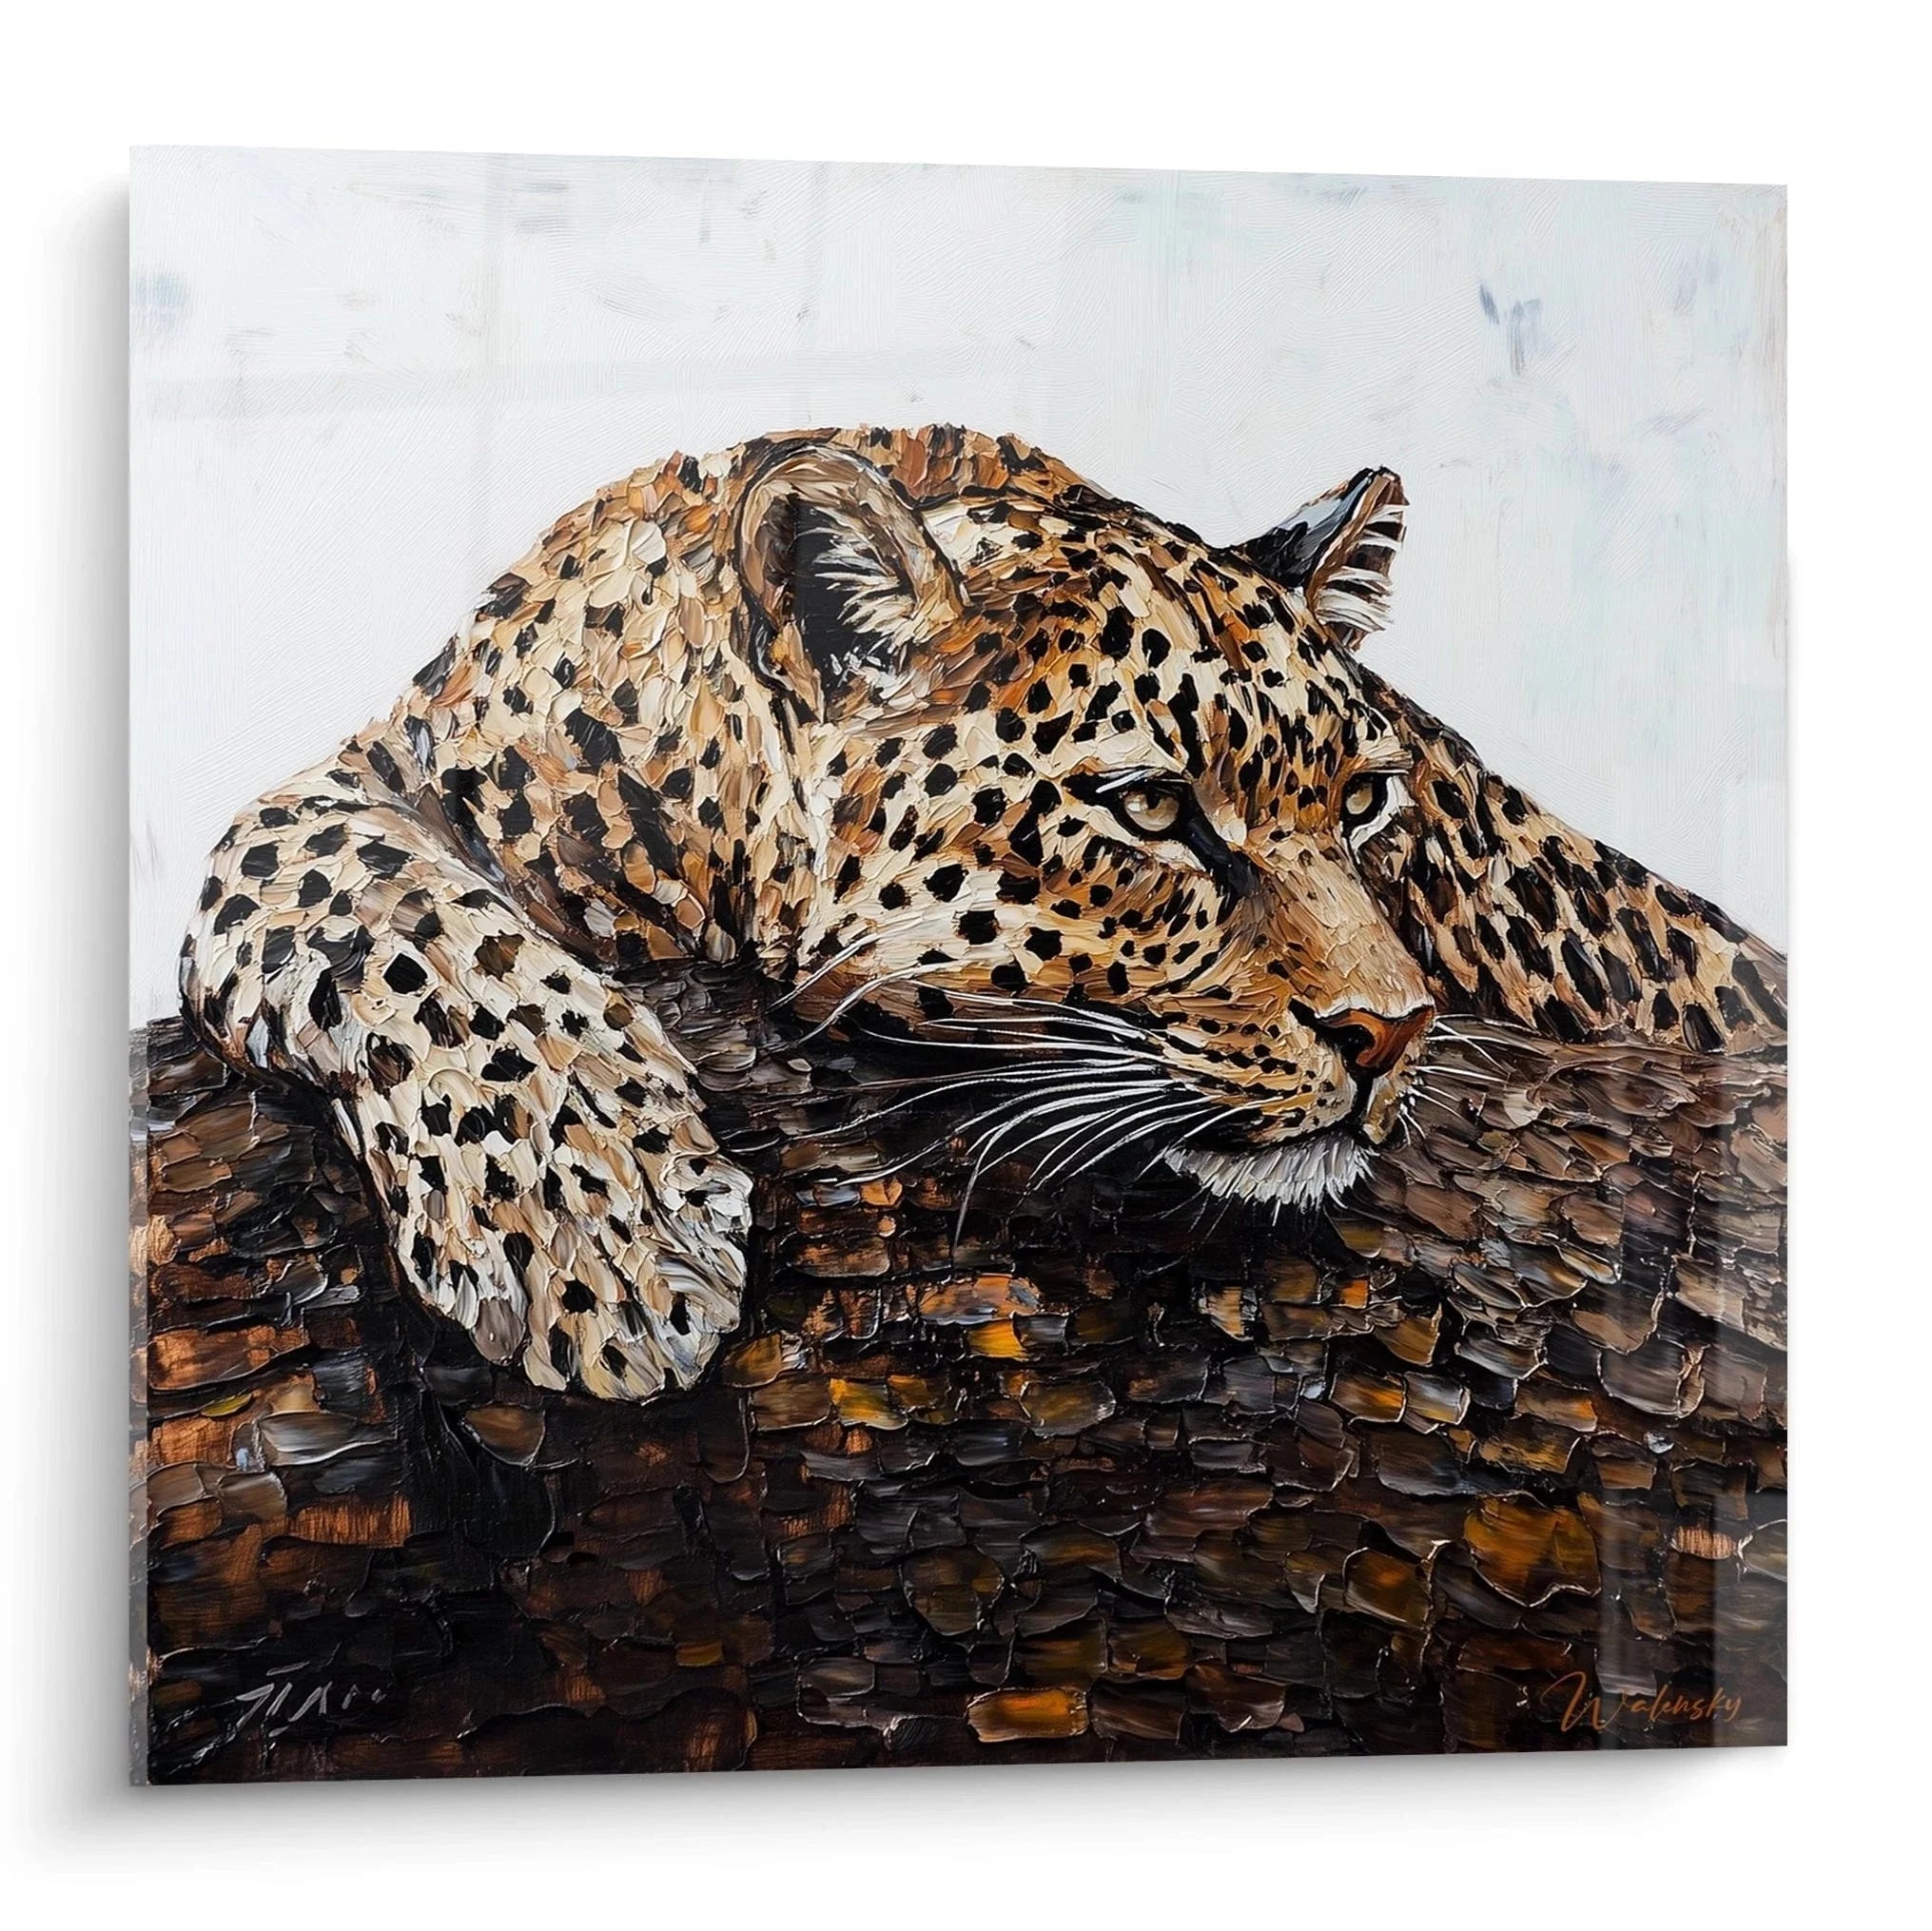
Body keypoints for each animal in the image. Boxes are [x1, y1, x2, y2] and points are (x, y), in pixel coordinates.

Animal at [181, 424, 1786, 1405]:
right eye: (1151, 810)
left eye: (1364, 801)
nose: (1388, 1032)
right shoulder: (370, 782)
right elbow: (362, 895)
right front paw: (600, 1226)